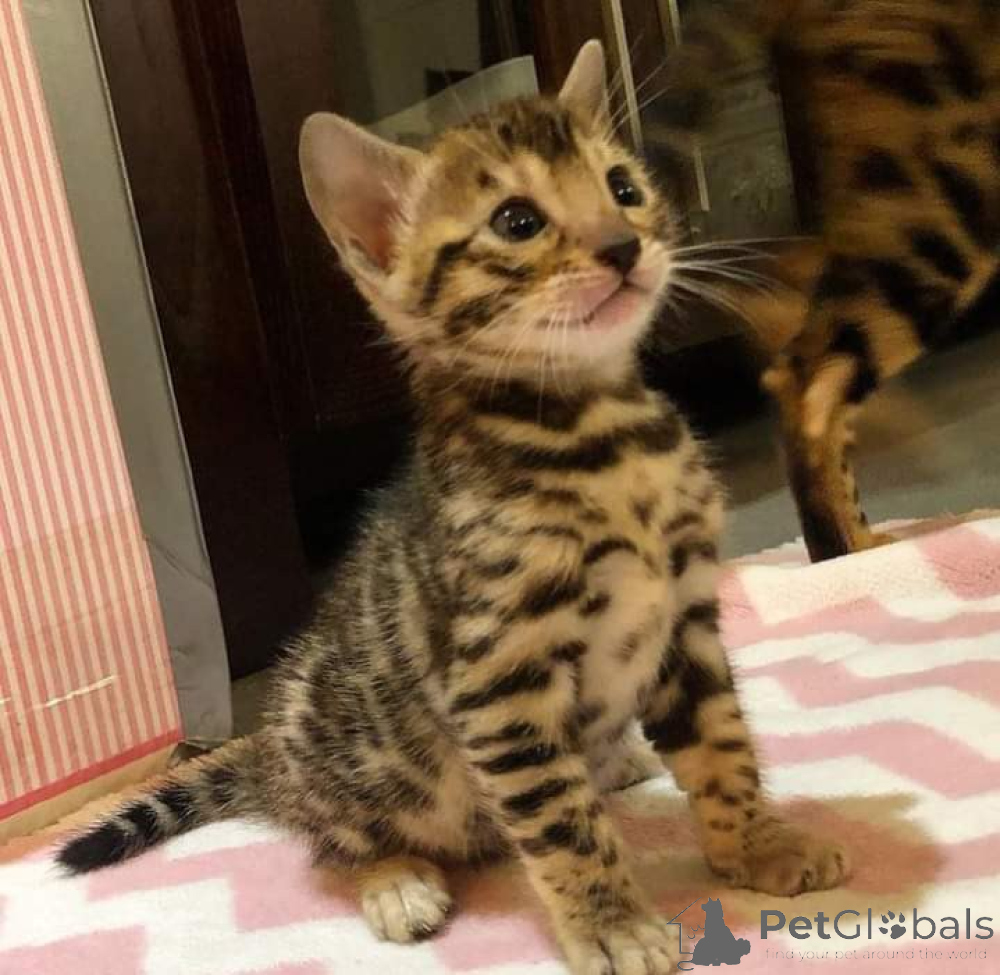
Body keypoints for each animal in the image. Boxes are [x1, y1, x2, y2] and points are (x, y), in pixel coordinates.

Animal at [56, 41, 847, 975]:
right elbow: (562, 823)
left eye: (622, 186)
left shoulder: (685, 622)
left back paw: (618, 761)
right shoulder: (497, 678)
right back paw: (393, 877)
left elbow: (721, 744)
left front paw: (758, 845)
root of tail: (271, 765)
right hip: (339, 750)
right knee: (329, 841)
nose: (624, 245)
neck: (600, 436)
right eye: (517, 221)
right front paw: (613, 922)